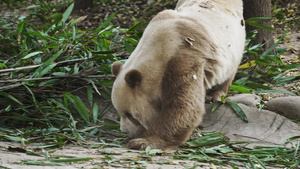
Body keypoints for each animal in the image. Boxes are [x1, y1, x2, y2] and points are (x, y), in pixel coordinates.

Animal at [111, 0, 245, 151]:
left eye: (130, 115)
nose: (125, 131)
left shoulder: (183, 57)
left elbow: (183, 107)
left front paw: (144, 142)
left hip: (234, 42)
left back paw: (216, 94)